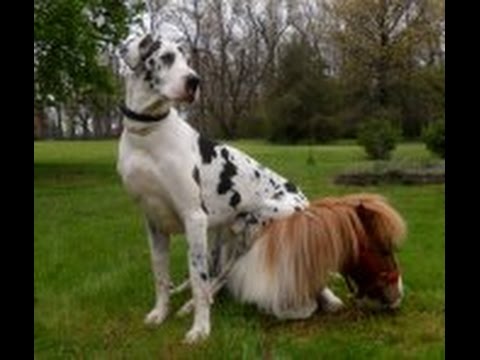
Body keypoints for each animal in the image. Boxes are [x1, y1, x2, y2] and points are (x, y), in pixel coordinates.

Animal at [116, 33, 342, 344]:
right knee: (215, 272)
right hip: (218, 233)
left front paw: (201, 329)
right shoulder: (154, 222)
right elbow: (160, 275)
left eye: (188, 60)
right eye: (166, 57)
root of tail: (305, 199)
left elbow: (199, 279)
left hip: (252, 224)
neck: (147, 137)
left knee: (222, 274)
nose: (194, 81)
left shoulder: (193, 218)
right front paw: (159, 313)